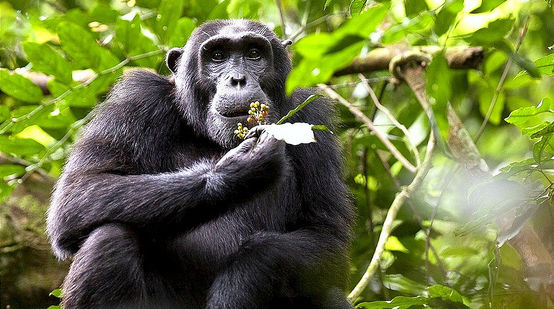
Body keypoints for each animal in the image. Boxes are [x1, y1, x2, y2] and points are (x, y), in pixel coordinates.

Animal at [46, 19, 350, 308]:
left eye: (254, 53)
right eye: (217, 56)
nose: (237, 79)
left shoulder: (311, 115)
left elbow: (326, 237)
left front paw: (239, 284)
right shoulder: (136, 102)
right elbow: (80, 189)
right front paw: (238, 169)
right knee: (108, 237)